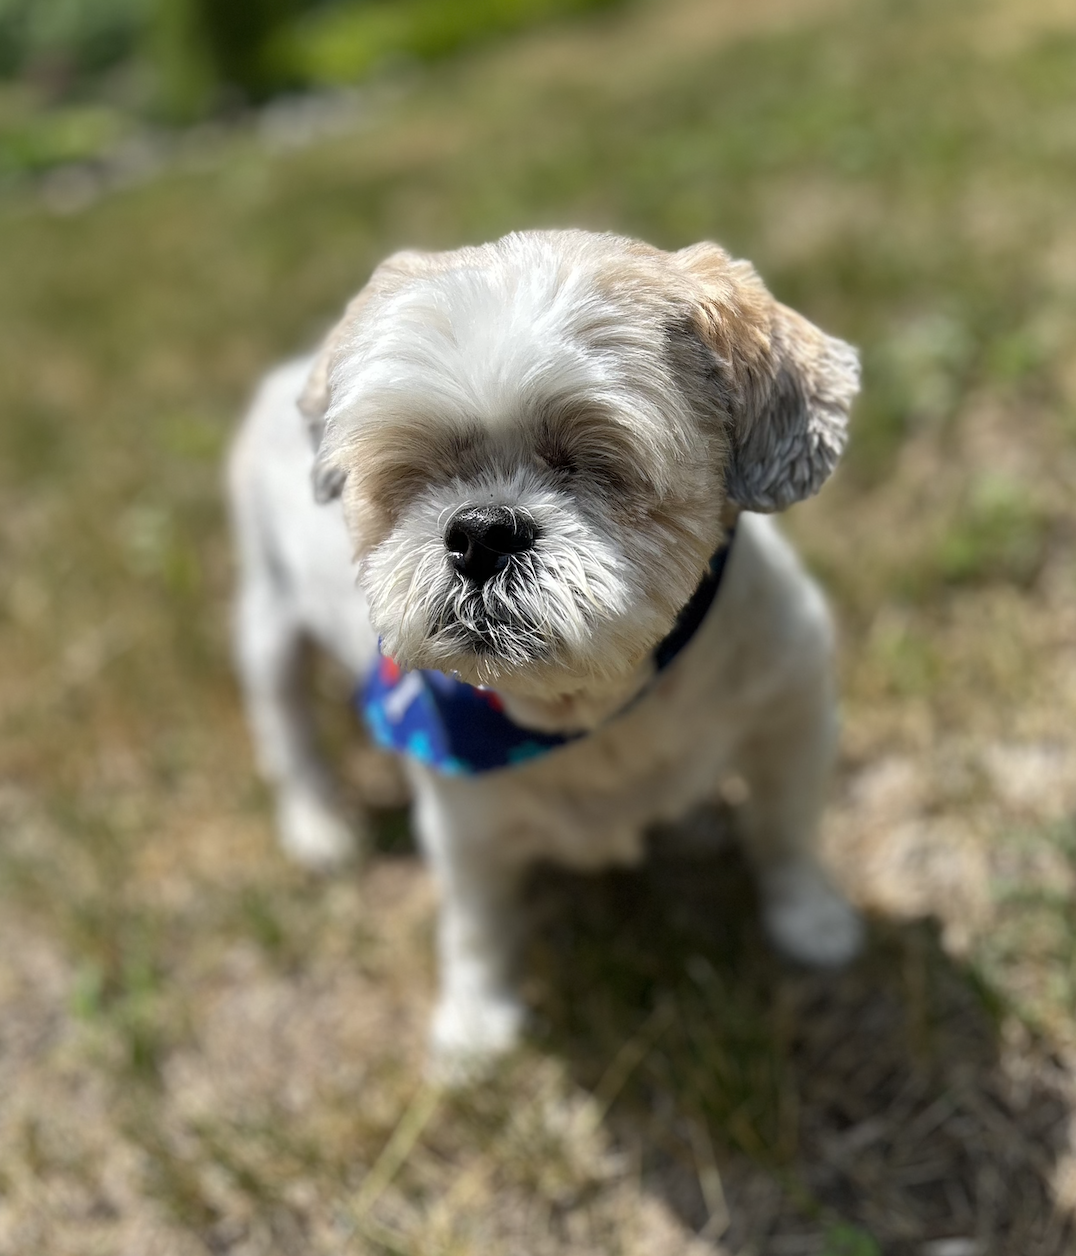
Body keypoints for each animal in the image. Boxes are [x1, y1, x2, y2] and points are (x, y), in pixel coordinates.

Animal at [227, 226, 863, 1070]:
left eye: (594, 459)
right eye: (412, 473)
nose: (480, 531)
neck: (590, 708)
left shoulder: (790, 713)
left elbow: (786, 832)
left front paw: (811, 922)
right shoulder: (463, 813)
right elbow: (476, 922)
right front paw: (475, 1027)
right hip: (267, 620)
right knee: (286, 727)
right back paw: (318, 827)